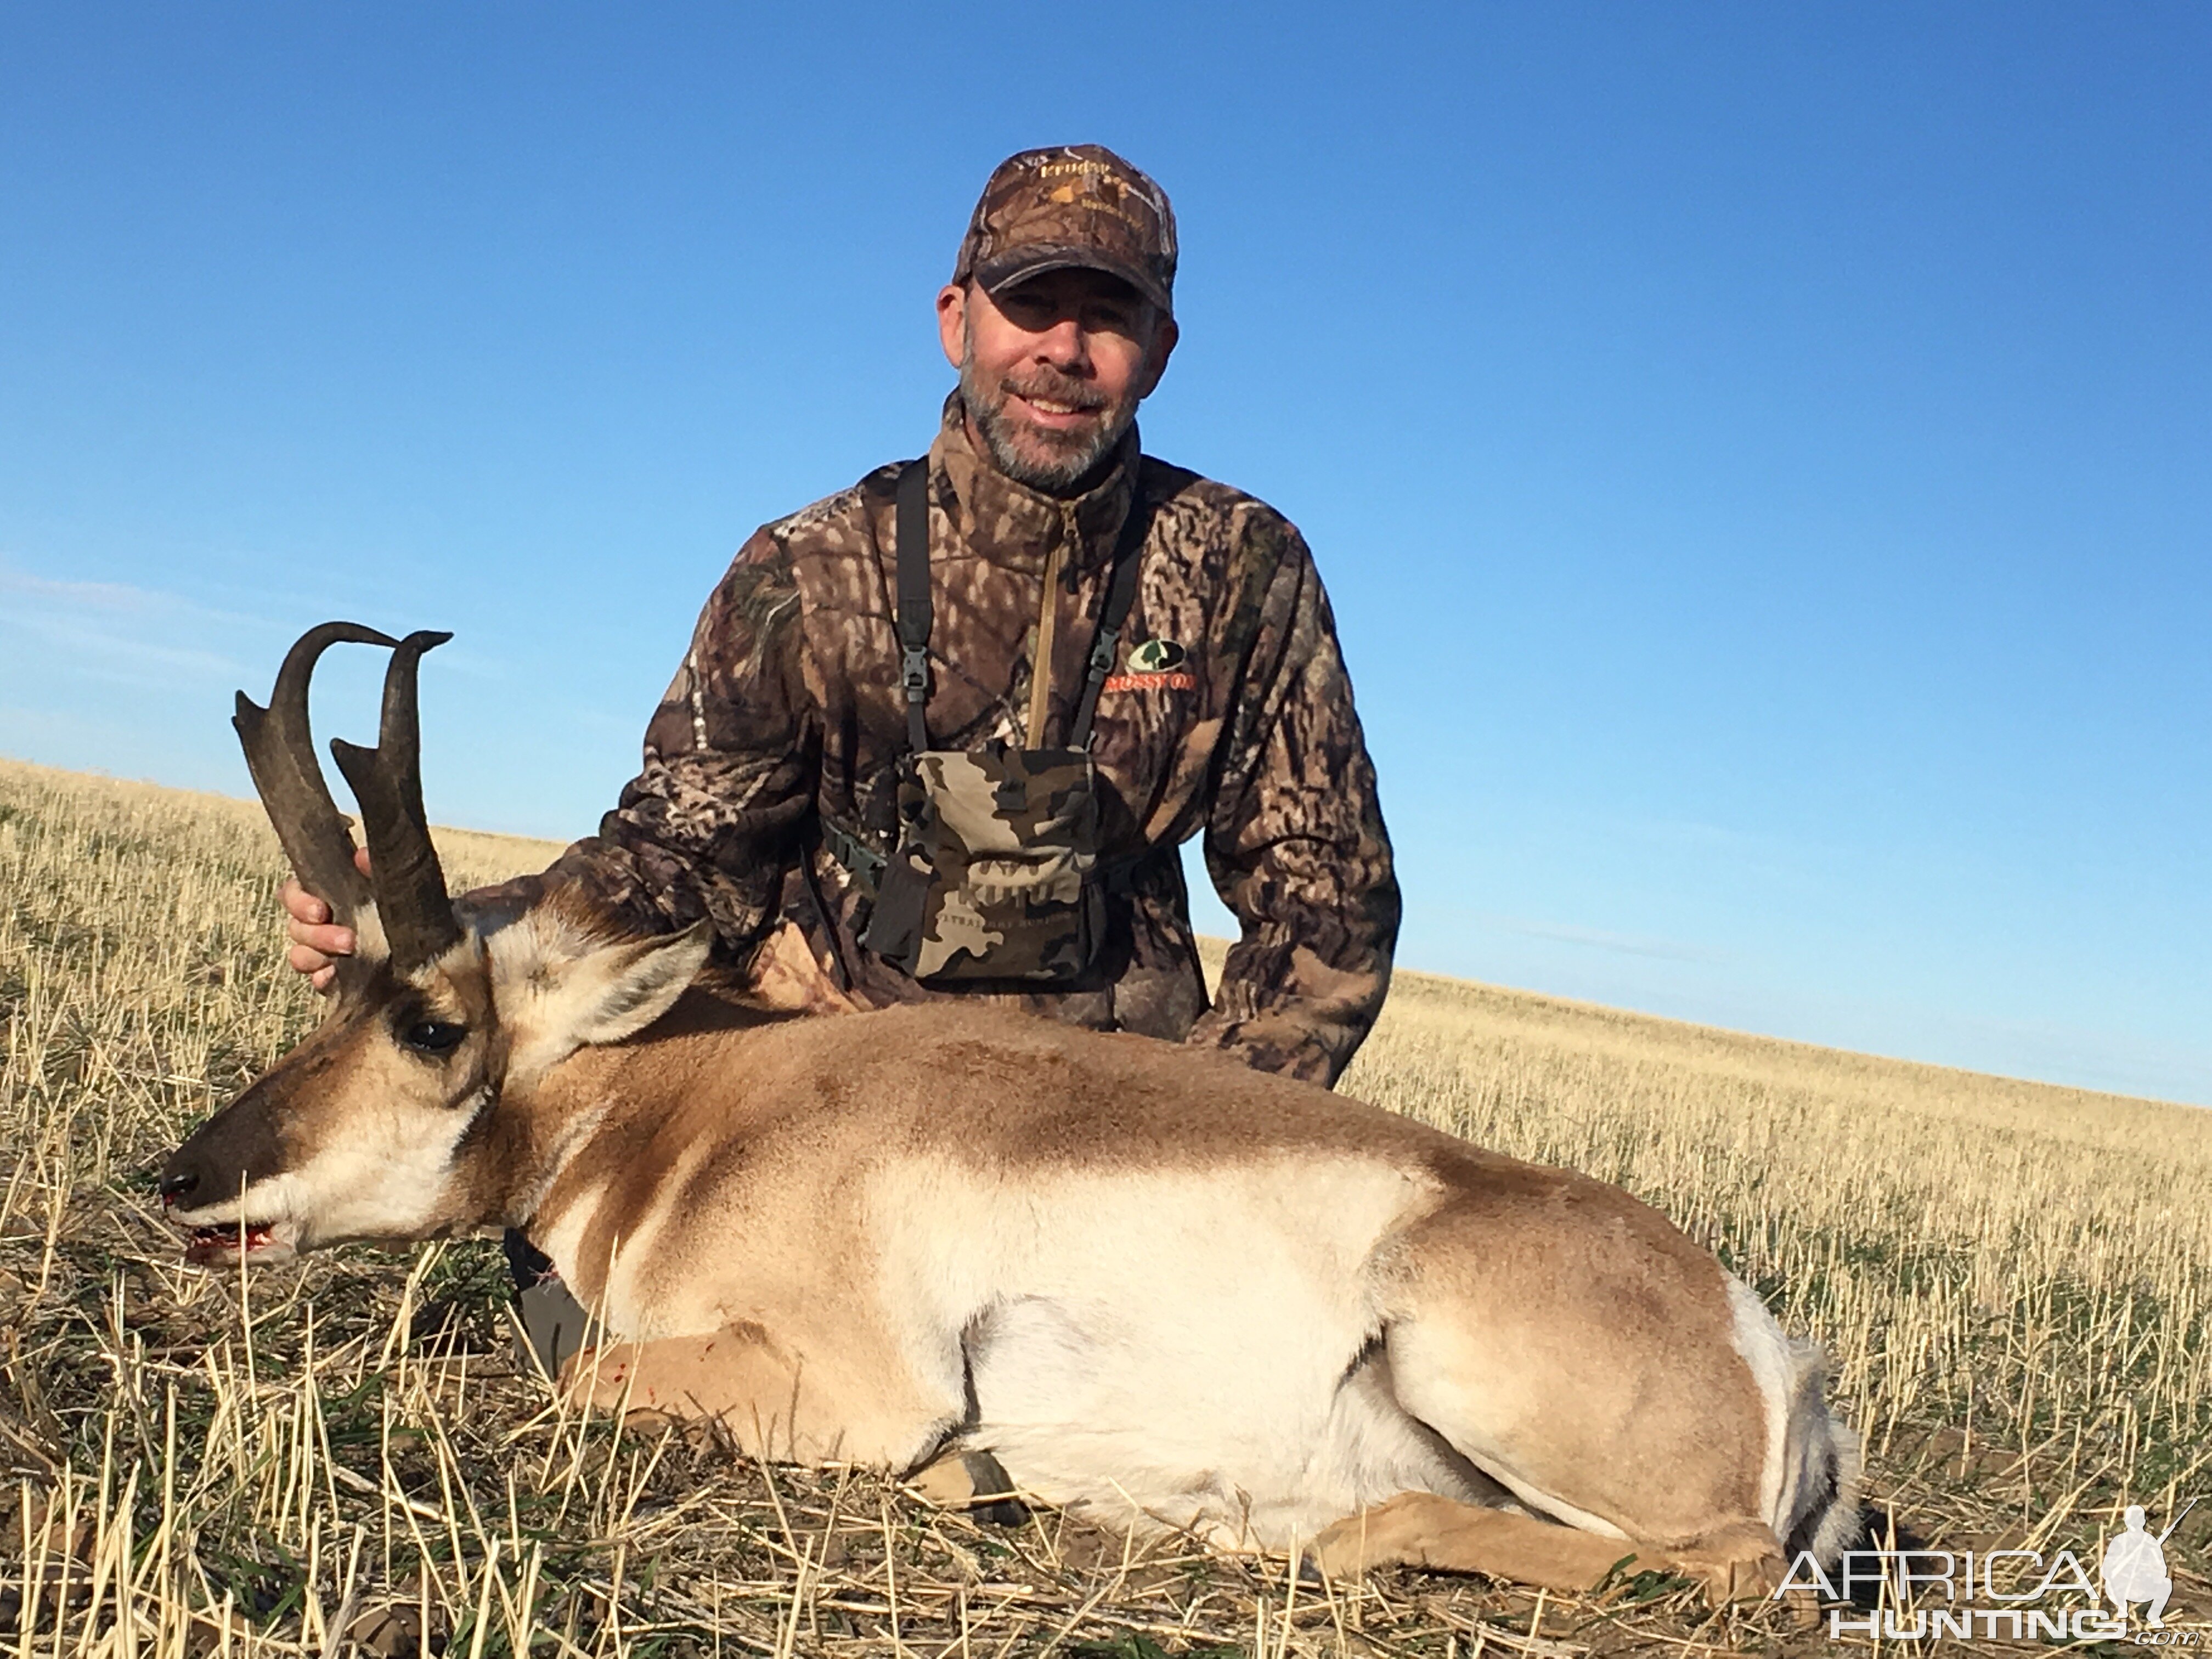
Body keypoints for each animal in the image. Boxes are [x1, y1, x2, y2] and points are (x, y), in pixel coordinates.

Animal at [163, 619, 1867, 1601]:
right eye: (332, 996)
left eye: (433, 1023)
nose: (182, 1182)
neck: (698, 1103)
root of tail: (1775, 1355)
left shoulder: (864, 1389)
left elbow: (593, 1382)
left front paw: (970, 1479)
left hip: (1464, 1367)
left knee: (1716, 1570)